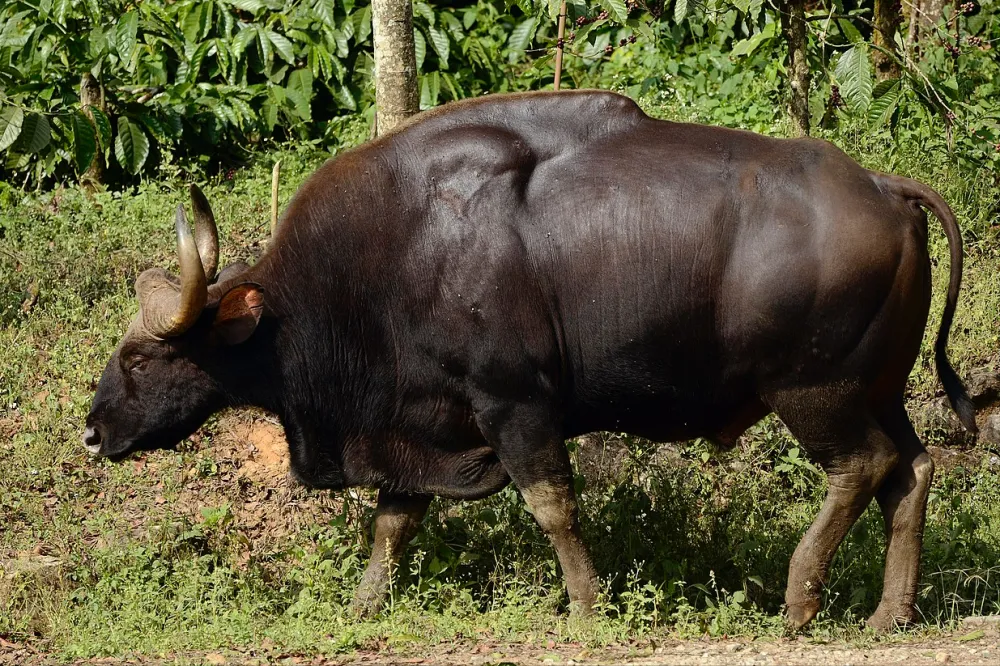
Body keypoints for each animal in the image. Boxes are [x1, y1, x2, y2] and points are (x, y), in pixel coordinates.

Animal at [84, 92, 976, 628]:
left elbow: (552, 508)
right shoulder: (418, 421)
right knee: (913, 469)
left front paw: (585, 607)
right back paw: (890, 612)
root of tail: (885, 186)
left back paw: (799, 601)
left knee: (860, 467)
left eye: (142, 357)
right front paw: (365, 606)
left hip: (814, 391)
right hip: (879, 388)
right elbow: (393, 523)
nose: (91, 432)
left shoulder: (513, 405)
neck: (390, 257)